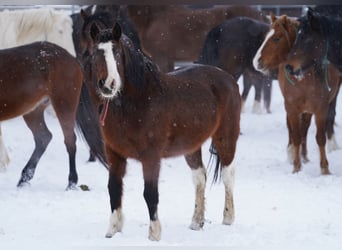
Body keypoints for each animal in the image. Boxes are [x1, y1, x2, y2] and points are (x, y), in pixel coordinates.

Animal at [0, 41, 83, 189]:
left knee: (69, 140)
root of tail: (71, 58)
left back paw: (71, 183)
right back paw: (24, 178)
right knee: (43, 137)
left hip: (64, 103)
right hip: (33, 111)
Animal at [77, 23, 242, 240]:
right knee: (199, 177)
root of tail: (229, 78)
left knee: (228, 174)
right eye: (97, 53)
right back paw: (196, 222)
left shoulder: (151, 157)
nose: (108, 85)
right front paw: (112, 230)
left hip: (226, 137)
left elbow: (150, 193)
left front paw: (154, 234)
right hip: (191, 146)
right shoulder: (114, 154)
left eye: (117, 52)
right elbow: (114, 188)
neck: (137, 102)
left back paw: (228, 218)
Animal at [252, 13, 340, 174]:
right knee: (294, 130)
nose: (256, 62)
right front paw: (296, 166)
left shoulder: (320, 108)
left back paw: (304, 155)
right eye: (267, 36)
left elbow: (320, 137)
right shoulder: (292, 108)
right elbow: (296, 135)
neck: (302, 76)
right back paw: (293, 152)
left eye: (277, 38)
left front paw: (324, 168)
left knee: (305, 127)